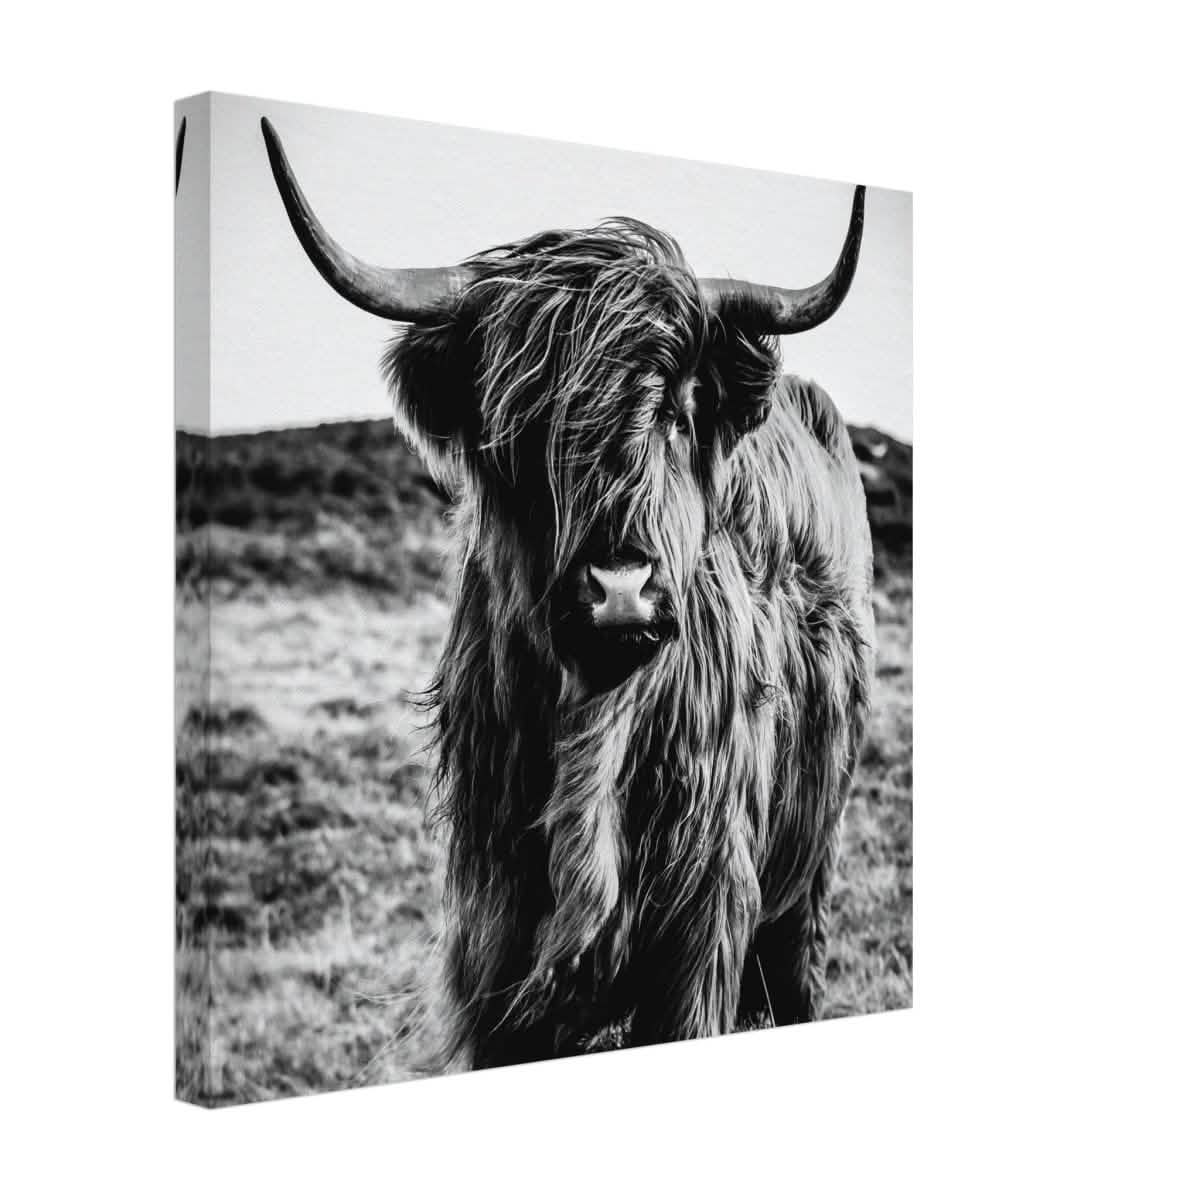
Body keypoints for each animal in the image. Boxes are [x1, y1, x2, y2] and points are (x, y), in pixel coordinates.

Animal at [261, 118, 876, 1070]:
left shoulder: (701, 930)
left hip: (807, 873)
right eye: (523, 420)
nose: (620, 588)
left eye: (675, 408)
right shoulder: (495, 941)